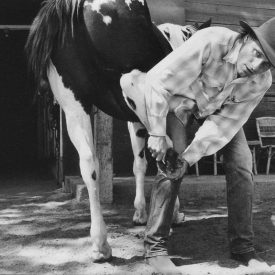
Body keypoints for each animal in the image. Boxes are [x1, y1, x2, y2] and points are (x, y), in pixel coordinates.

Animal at [25, 0, 210, 264]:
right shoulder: (167, 115)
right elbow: (172, 153)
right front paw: (172, 214)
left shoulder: (134, 121)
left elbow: (140, 163)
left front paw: (141, 213)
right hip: (137, 84)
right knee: (162, 146)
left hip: (74, 106)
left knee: (89, 164)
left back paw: (100, 245)